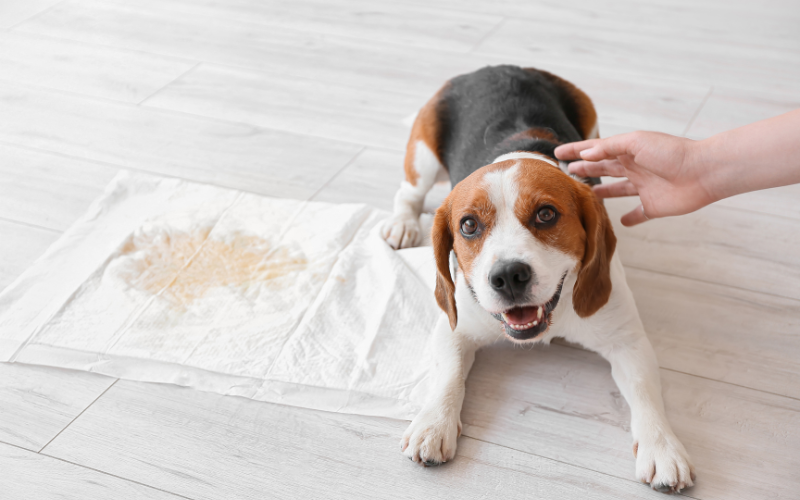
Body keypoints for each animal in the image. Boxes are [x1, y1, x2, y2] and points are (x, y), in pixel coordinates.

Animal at [382, 65, 692, 492]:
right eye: (468, 225)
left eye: (546, 214)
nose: (508, 276)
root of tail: (496, 68)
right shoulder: (454, 329)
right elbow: (448, 377)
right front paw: (433, 424)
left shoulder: (627, 341)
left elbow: (646, 392)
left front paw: (662, 448)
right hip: (423, 156)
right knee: (407, 193)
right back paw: (402, 223)